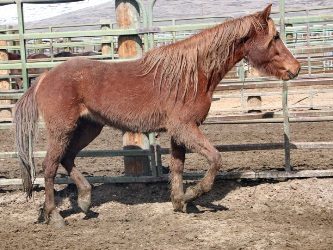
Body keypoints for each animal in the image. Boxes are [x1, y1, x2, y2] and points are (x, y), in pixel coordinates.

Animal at [13, 4, 298, 227]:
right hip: (62, 129)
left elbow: (178, 167)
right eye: (275, 36)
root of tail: (44, 77)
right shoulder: (184, 128)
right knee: (50, 166)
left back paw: (85, 200)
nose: (295, 68)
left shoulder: (179, 132)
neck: (191, 75)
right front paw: (192, 195)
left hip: (88, 128)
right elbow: (215, 159)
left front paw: (179, 202)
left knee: (67, 158)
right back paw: (54, 215)